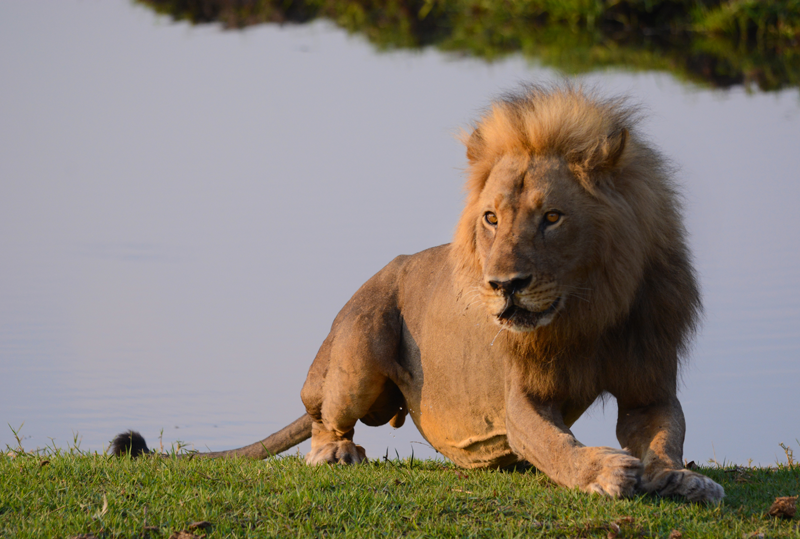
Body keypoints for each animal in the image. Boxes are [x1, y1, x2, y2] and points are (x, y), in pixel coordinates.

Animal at [112, 83, 724, 502]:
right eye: (492, 218)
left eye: (552, 217)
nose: (503, 286)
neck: (587, 311)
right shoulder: (520, 397)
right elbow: (556, 444)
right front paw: (604, 471)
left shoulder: (649, 386)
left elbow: (666, 435)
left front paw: (682, 478)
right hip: (357, 346)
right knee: (323, 418)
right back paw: (335, 452)